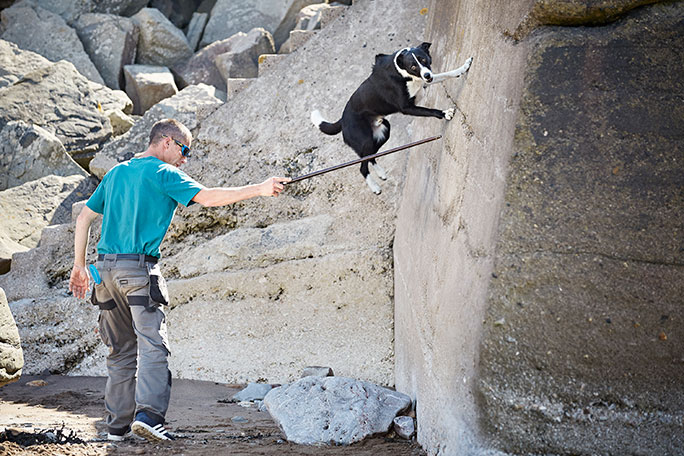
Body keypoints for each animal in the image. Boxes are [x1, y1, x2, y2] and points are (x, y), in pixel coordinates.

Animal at [312, 41, 472, 193]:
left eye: (424, 60)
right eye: (413, 66)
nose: (427, 75)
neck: (401, 71)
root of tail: (343, 119)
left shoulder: (424, 84)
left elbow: (445, 74)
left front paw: (463, 68)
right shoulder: (407, 108)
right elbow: (430, 110)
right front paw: (445, 113)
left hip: (383, 131)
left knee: (370, 157)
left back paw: (381, 173)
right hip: (366, 140)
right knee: (362, 167)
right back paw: (374, 187)